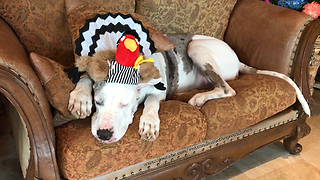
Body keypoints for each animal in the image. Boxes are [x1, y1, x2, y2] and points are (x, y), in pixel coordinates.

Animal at [68, 34, 310, 143]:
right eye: (98, 102)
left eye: (124, 105)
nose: (103, 134)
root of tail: (237, 58)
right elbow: (85, 77)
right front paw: (80, 98)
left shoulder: (157, 92)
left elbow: (152, 102)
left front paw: (149, 121)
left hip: (197, 48)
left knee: (227, 89)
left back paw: (199, 98)